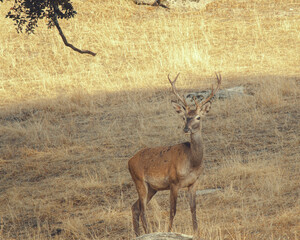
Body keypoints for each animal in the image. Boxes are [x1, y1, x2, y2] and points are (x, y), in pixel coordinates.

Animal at [127, 73, 221, 236]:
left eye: (198, 117)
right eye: (184, 117)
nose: (186, 129)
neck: (192, 162)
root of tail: (129, 161)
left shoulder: (193, 183)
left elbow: (193, 208)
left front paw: (196, 232)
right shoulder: (173, 182)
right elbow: (173, 210)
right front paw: (169, 231)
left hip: (152, 188)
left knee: (135, 207)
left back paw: (139, 234)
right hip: (139, 180)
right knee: (143, 209)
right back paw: (148, 232)